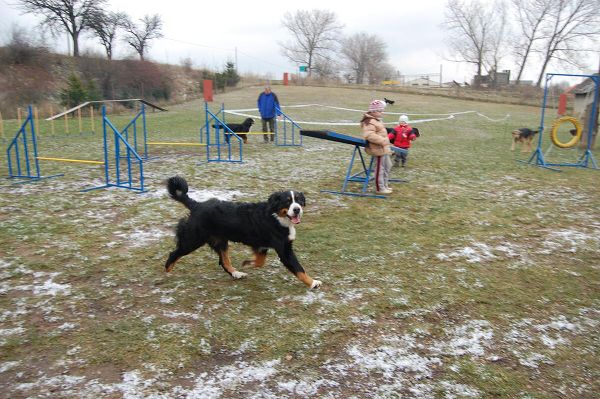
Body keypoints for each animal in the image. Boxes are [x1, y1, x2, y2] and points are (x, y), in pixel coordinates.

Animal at [164, 177, 322, 290]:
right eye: (287, 202)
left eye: (299, 201)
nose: (297, 209)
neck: (277, 217)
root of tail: (197, 205)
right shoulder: (284, 249)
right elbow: (298, 268)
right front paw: (313, 282)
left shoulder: (262, 246)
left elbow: (260, 261)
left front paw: (247, 263)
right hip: (193, 239)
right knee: (174, 253)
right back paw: (167, 270)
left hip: (220, 240)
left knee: (224, 261)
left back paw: (237, 273)